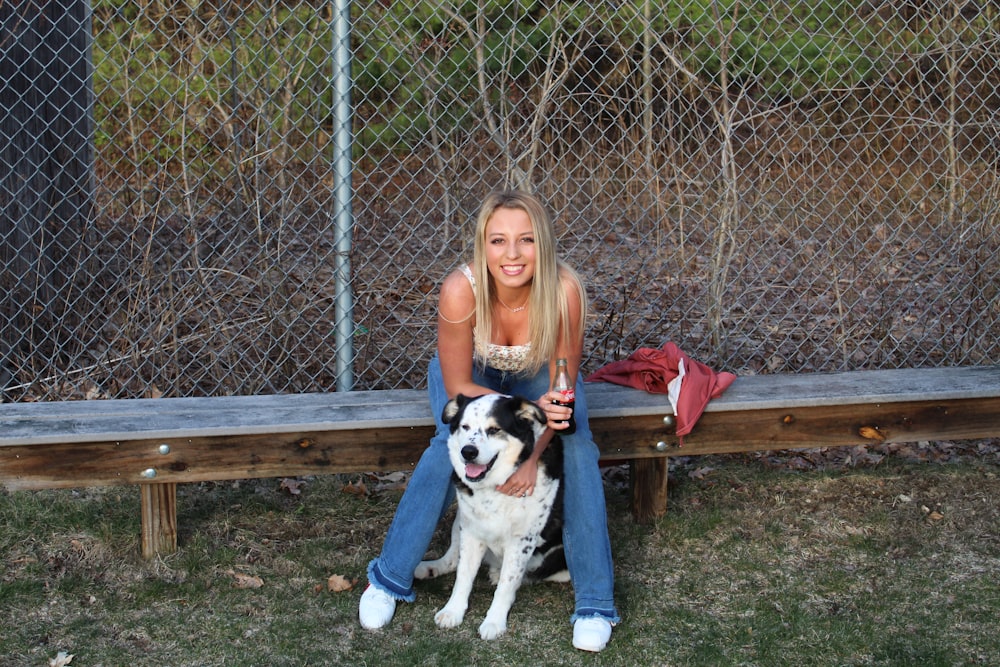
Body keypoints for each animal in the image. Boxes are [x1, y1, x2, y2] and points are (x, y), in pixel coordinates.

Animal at [414, 394, 568, 640]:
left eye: (494, 429)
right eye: (465, 426)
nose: (468, 451)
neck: (496, 488)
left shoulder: (521, 541)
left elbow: (507, 584)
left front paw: (494, 621)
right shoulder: (472, 531)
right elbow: (463, 575)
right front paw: (453, 611)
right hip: (461, 519)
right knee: (451, 561)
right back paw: (431, 567)